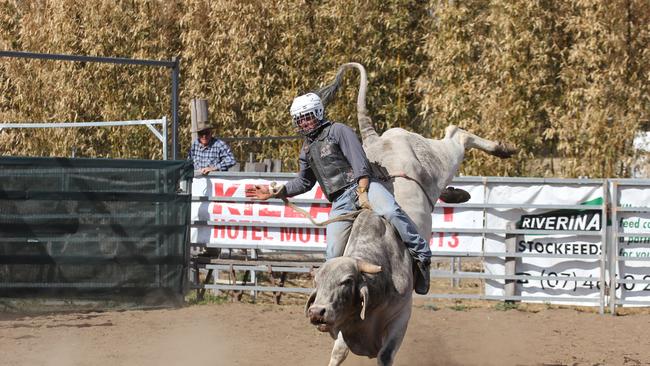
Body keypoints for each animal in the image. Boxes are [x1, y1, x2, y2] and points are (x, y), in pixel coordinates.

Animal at [302, 63, 512, 366]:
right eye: (317, 281)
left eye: (346, 281)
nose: (317, 312)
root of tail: (378, 139)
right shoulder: (346, 327)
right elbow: (339, 351)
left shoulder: (401, 316)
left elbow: (386, 355)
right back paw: (459, 194)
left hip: (441, 160)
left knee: (457, 134)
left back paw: (502, 149)